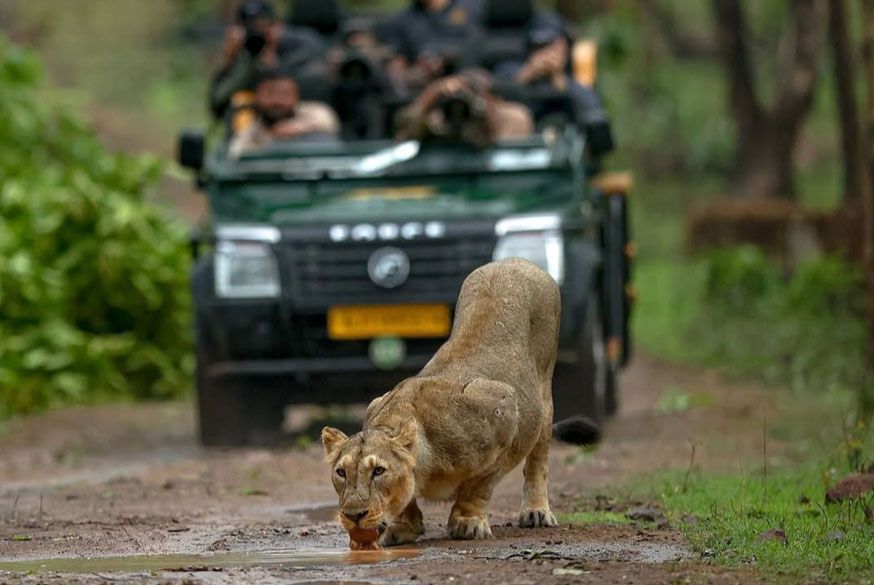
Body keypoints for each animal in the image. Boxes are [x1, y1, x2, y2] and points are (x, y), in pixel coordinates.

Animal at [322, 258, 561, 546]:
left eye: (378, 471)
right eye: (341, 472)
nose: (354, 515)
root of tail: (515, 261)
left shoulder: (503, 411)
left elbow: (479, 485)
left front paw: (467, 522)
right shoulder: (374, 404)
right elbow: (406, 499)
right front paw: (404, 526)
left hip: (544, 395)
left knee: (538, 459)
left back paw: (536, 512)